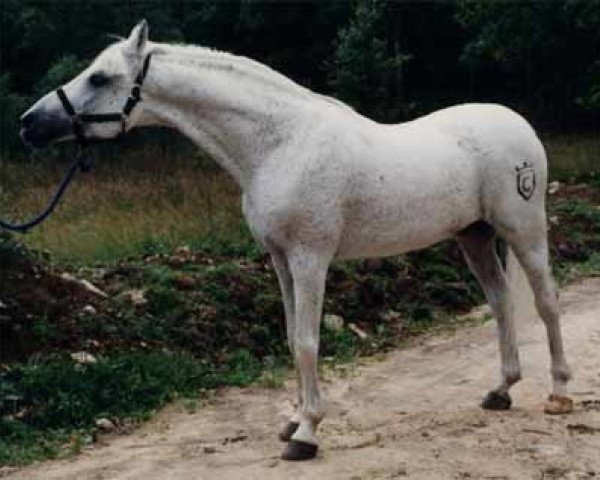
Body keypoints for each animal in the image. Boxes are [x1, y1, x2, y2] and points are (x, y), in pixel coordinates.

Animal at [21, 20, 576, 460]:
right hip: (474, 236)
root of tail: (516, 123)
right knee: (501, 302)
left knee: (546, 302)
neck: (280, 143)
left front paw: (307, 433)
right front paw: (292, 420)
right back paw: (500, 390)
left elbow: (309, 342)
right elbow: (291, 338)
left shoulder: (311, 258)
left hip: (524, 229)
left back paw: (559, 393)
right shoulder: (280, 259)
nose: (29, 125)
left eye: (100, 77)